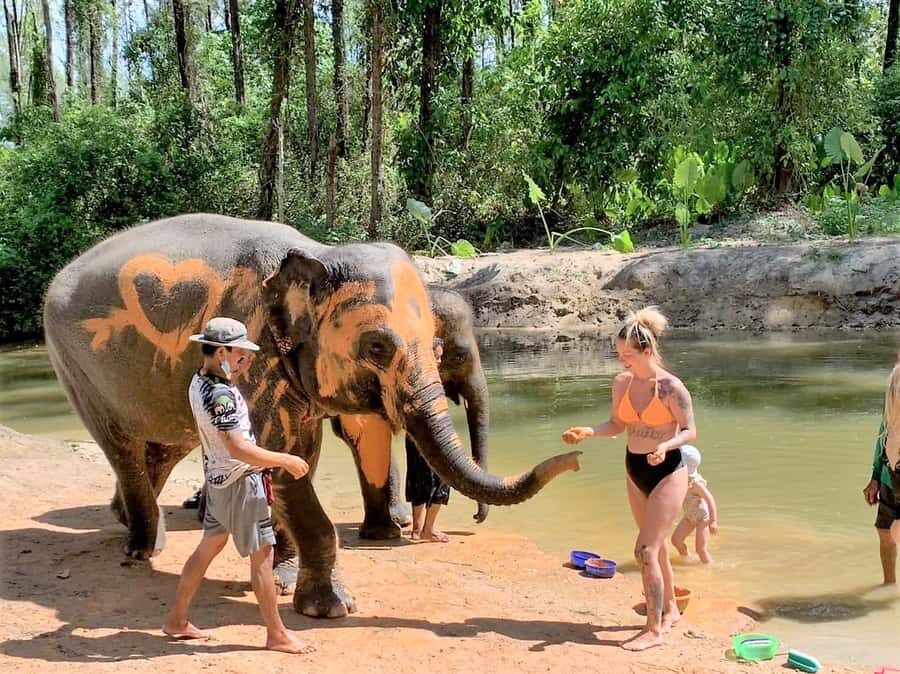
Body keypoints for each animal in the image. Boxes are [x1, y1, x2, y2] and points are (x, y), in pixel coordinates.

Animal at [42, 213, 581, 619]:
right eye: (378, 346)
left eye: (435, 345)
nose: (573, 456)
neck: (317, 253)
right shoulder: (254, 350)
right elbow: (281, 458)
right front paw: (333, 608)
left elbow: (310, 452)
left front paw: (282, 579)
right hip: (73, 364)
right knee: (123, 448)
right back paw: (141, 551)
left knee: (163, 446)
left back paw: (129, 522)